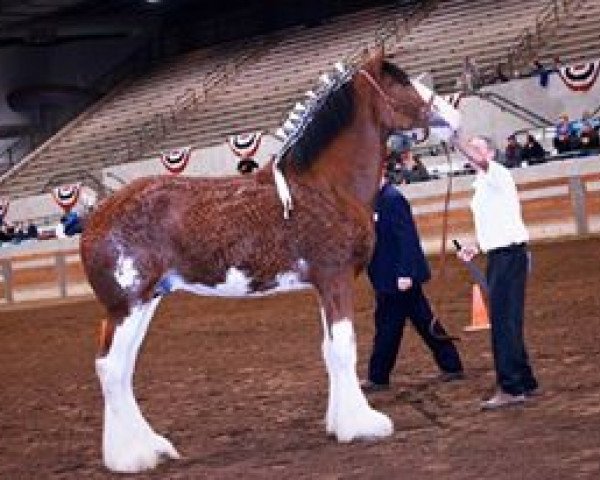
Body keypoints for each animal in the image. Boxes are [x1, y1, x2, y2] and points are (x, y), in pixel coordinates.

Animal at [82, 47, 434, 474]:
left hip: (145, 301)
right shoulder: (336, 278)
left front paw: (339, 423)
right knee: (112, 368)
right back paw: (134, 456)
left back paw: (146, 448)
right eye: (400, 81)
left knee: (120, 368)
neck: (324, 186)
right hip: (128, 305)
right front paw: (363, 425)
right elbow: (344, 348)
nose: (443, 110)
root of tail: (96, 217)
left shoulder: (323, 285)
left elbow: (329, 349)